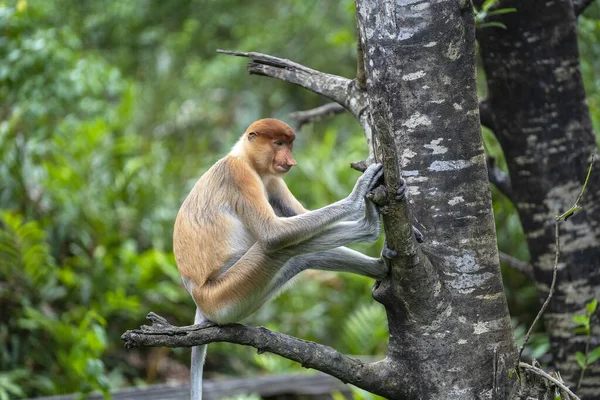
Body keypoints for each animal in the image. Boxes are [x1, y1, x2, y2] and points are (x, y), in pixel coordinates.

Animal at [172, 117, 398, 398]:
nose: (291, 161)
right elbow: (273, 234)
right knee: (280, 248)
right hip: (224, 297)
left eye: (289, 145)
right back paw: (370, 227)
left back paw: (381, 263)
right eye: (278, 143)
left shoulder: (272, 181)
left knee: (301, 255)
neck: (247, 159)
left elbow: (299, 215)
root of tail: (198, 298)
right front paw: (358, 195)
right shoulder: (239, 175)